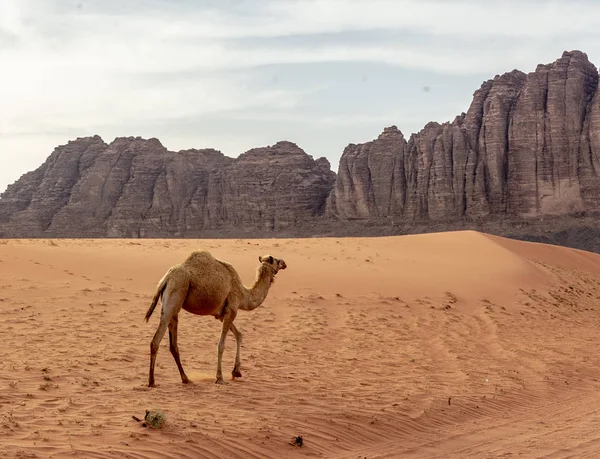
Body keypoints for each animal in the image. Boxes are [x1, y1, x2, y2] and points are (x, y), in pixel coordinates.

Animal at [144, 252, 288, 388]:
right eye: (276, 260)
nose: (284, 263)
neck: (244, 295)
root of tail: (166, 279)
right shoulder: (232, 309)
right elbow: (221, 345)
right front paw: (220, 378)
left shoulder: (221, 315)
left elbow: (239, 334)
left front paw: (236, 372)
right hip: (175, 295)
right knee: (156, 341)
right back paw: (152, 381)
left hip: (173, 305)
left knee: (173, 344)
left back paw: (185, 379)